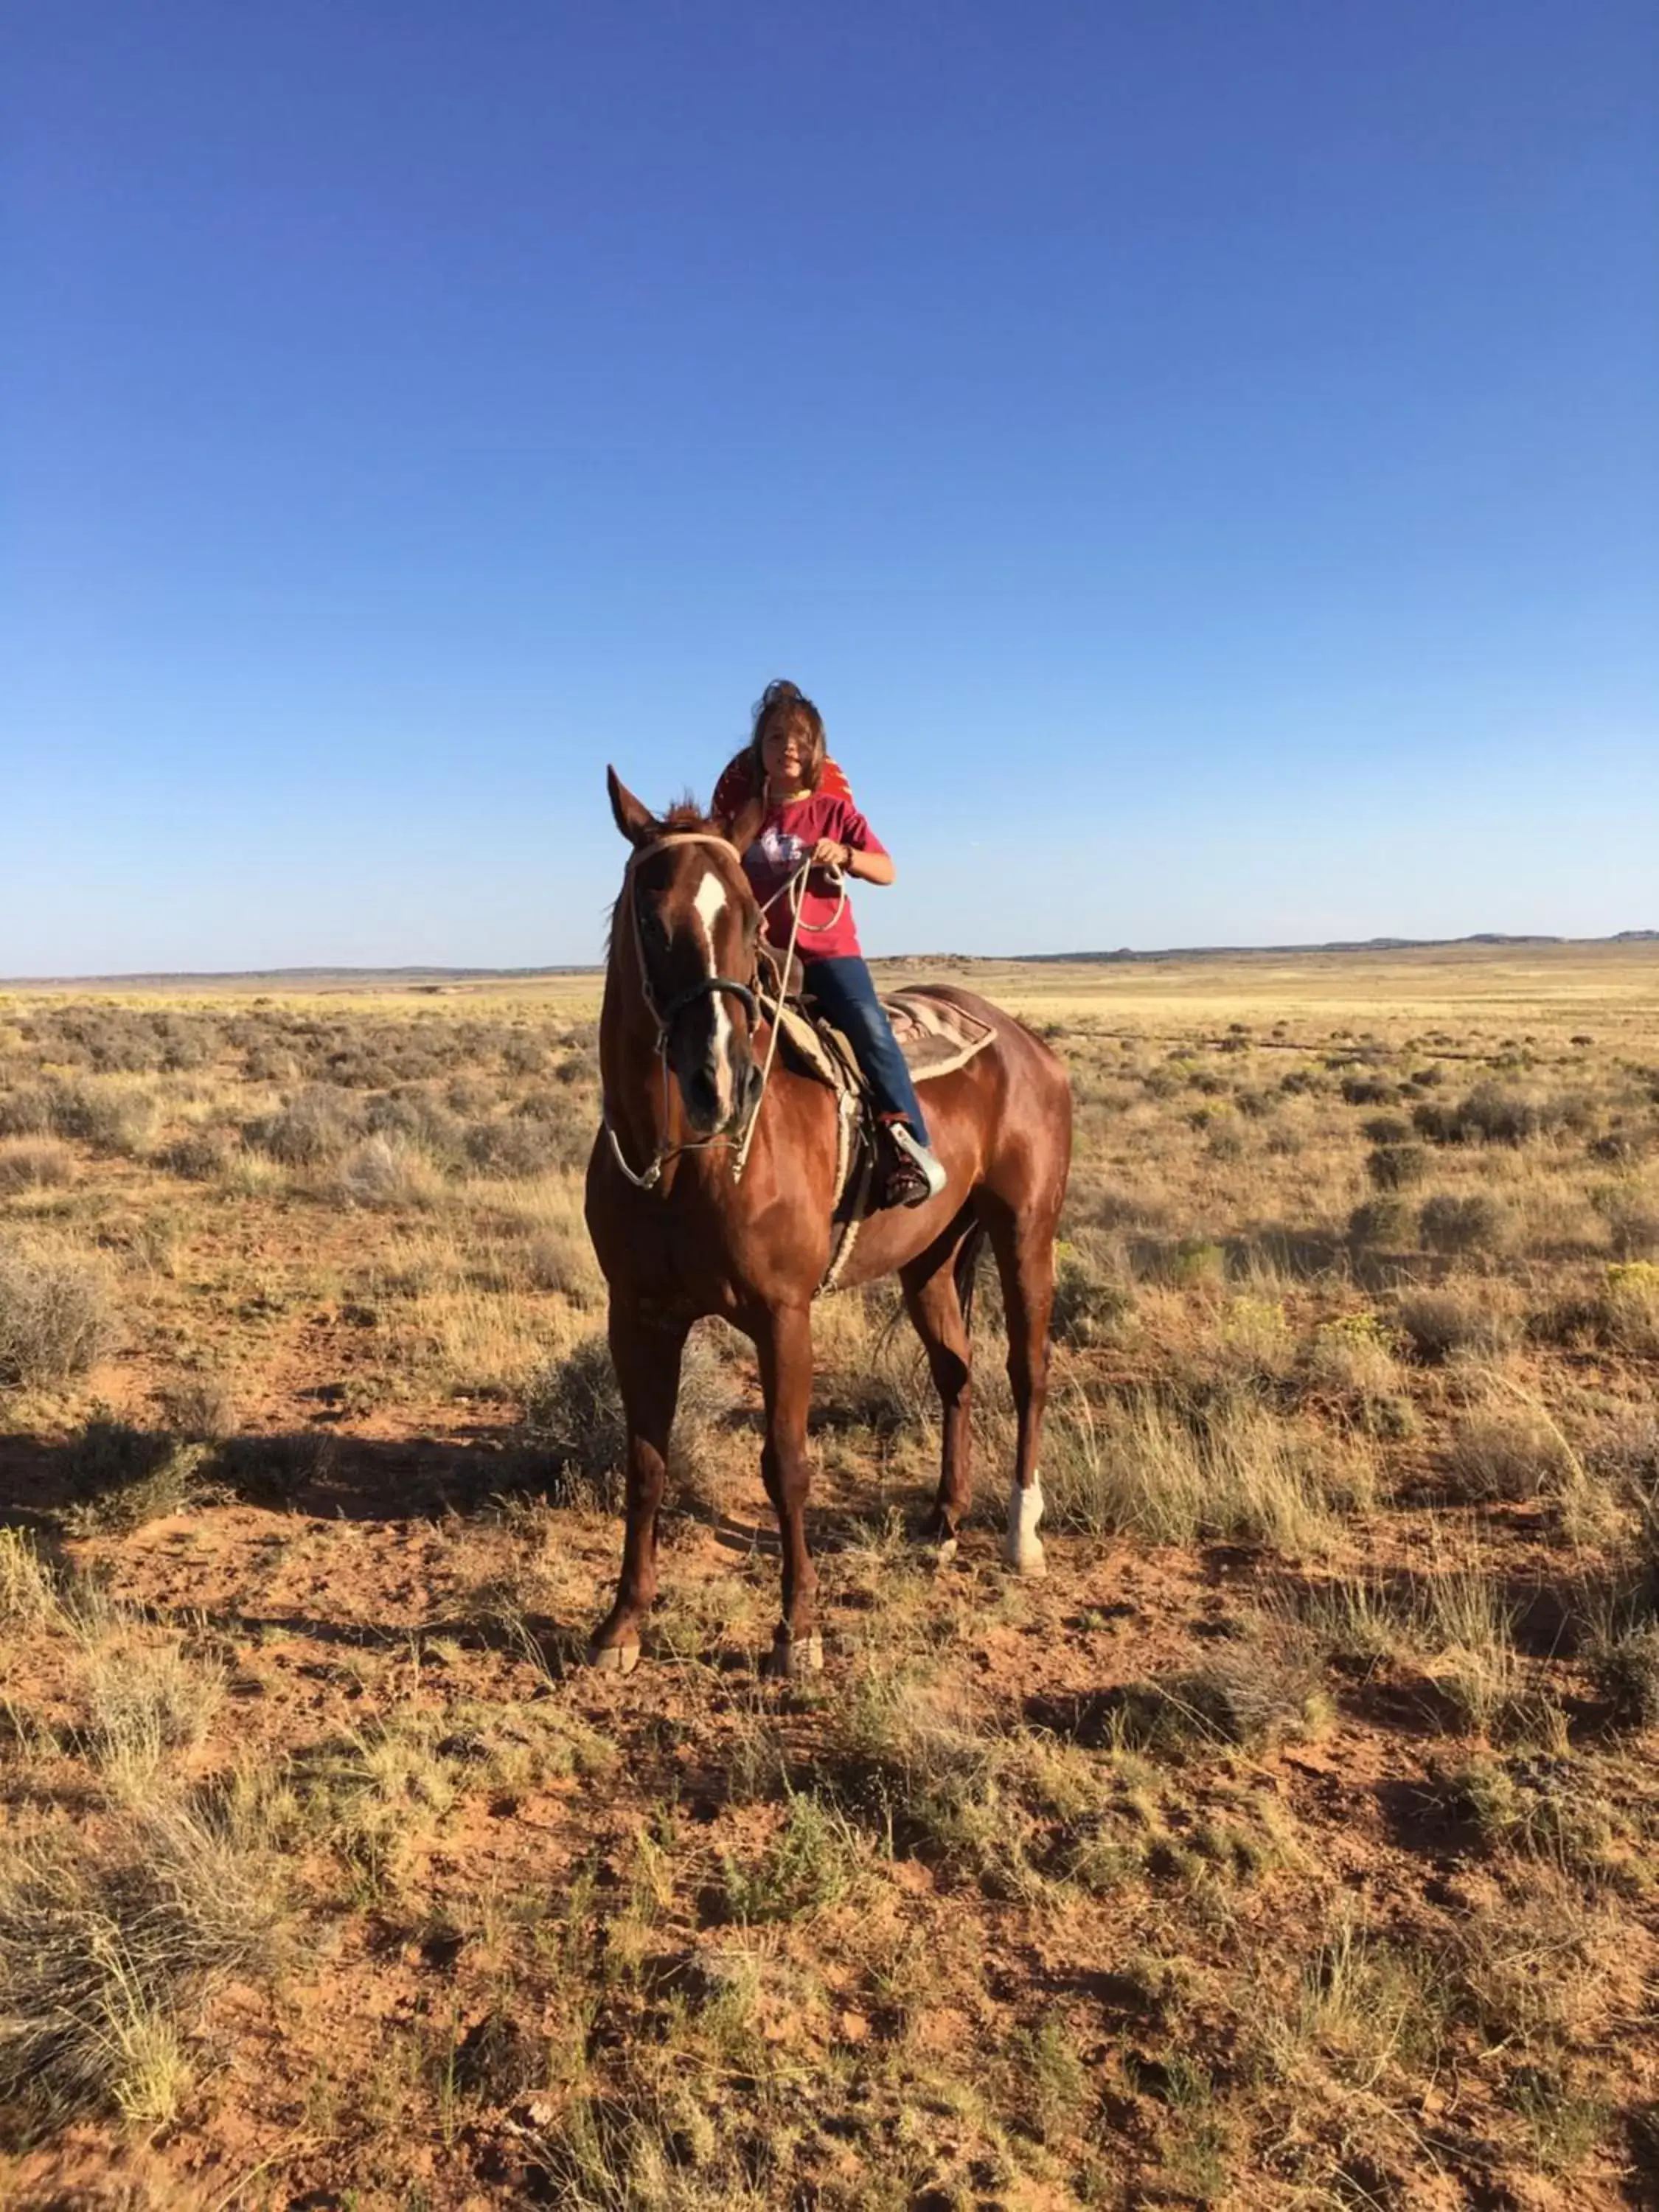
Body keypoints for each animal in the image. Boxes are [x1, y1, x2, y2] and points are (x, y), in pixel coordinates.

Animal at [584, 770, 1079, 1663]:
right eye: (650, 914)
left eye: (752, 918)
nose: (721, 1082)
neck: (681, 1164)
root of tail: (1027, 1044)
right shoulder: (637, 1315)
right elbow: (644, 1463)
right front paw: (623, 1623)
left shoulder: (783, 1315)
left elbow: (786, 1464)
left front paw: (798, 1629)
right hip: (931, 1261)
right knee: (956, 1372)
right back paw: (944, 1520)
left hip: (1027, 1232)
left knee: (1028, 1371)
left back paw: (1021, 1536)